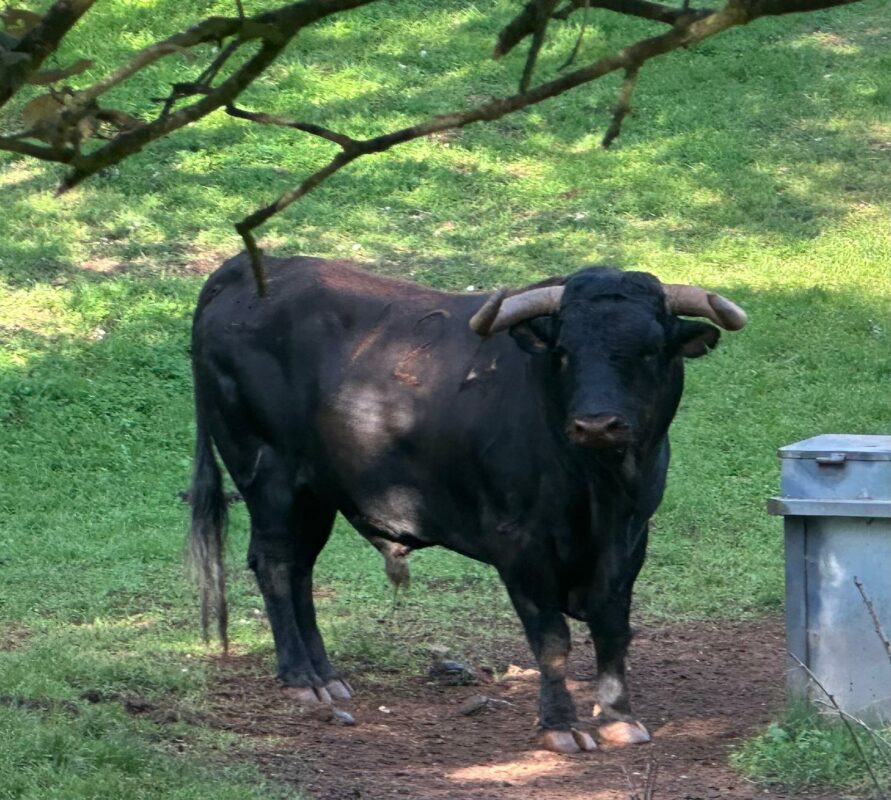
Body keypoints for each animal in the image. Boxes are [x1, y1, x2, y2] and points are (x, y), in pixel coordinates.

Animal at [188, 253, 744, 752]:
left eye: (649, 350)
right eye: (563, 351)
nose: (596, 424)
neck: (598, 487)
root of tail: (241, 271)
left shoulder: (631, 535)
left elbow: (613, 627)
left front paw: (617, 717)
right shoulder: (519, 543)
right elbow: (552, 640)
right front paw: (559, 726)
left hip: (315, 492)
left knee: (300, 570)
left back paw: (327, 675)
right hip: (269, 476)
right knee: (276, 564)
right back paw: (302, 678)